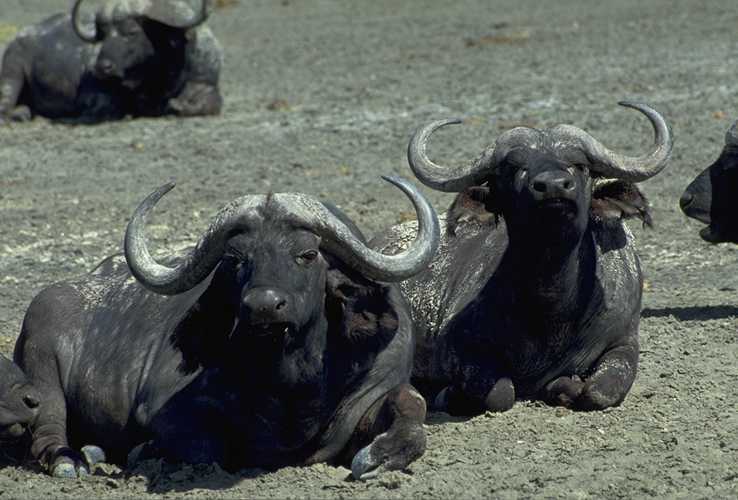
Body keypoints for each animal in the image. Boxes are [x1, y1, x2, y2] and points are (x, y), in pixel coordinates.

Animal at [0, 0, 222, 123]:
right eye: (104, 34)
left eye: (131, 32)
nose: (102, 67)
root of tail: (21, 35)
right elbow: (109, 108)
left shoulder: (205, 82)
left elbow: (210, 104)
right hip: (11, 72)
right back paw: (22, 113)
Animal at [14, 176, 439, 479]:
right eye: (236, 259)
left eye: (307, 254)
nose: (264, 305)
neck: (294, 385)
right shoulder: (165, 411)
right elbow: (207, 448)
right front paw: (143, 451)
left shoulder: (377, 386)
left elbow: (413, 408)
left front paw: (378, 456)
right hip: (40, 364)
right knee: (47, 425)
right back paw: (72, 460)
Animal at [373, 102, 672, 415]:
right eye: (514, 168)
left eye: (580, 165)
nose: (554, 186)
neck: (551, 308)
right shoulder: (461, 347)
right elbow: (501, 392)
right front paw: (449, 395)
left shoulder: (623, 341)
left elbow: (599, 392)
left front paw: (565, 387)